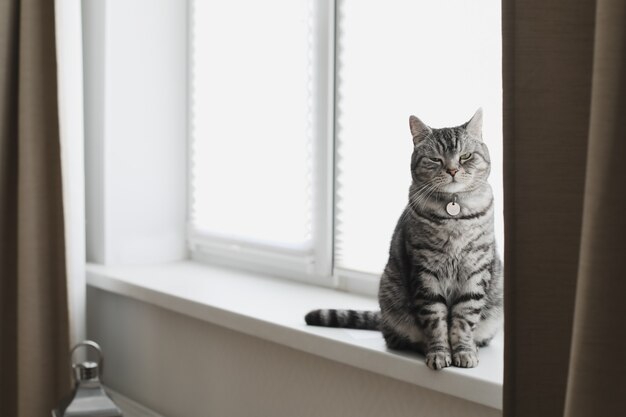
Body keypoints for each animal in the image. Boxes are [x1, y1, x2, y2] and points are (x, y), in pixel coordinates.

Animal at [304, 109, 504, 368]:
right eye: (435, 159)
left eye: (466, 156)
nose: (452, 170)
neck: (455, 214)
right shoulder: (425, 272)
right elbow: (436, 321)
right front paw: (439, 352)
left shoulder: (475, 270)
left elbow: (464, 318)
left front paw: (463, 351)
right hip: (390, 296)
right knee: (395, 336)